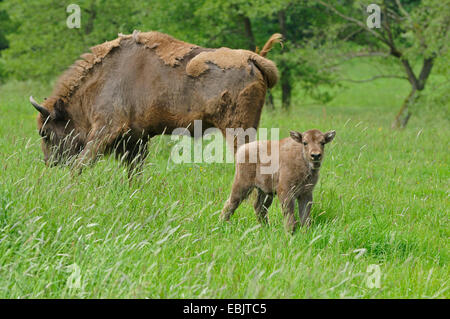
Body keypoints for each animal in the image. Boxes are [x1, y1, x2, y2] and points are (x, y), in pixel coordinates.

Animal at [29, 31, 280, 176]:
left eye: (45, 132)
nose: (50, 163)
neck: (104, 78)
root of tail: (253, 58)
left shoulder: (105, 129)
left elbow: (82, 163)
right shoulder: (136, 138)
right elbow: (134, 171)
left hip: (237, 130)